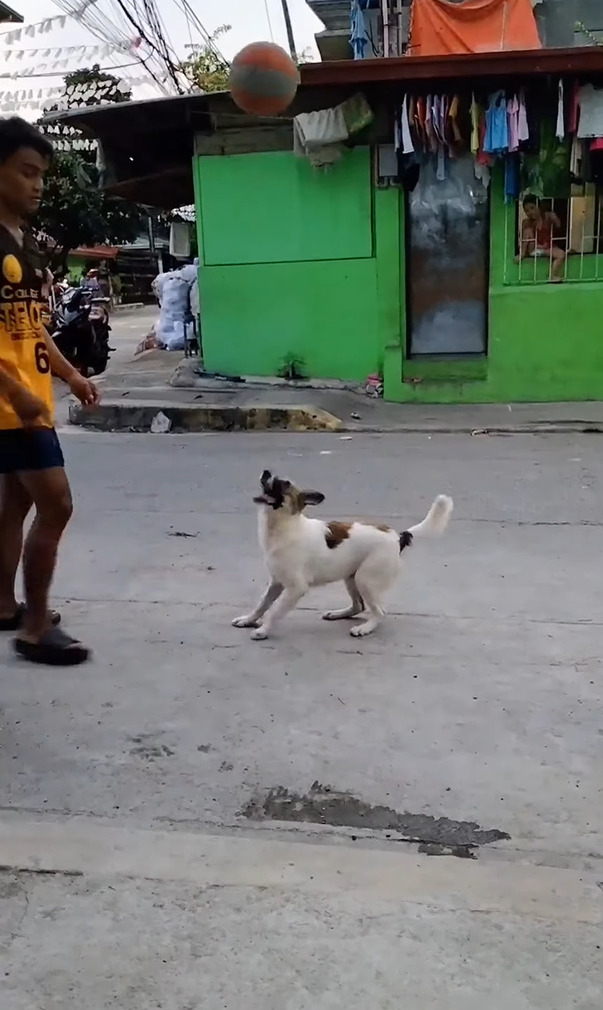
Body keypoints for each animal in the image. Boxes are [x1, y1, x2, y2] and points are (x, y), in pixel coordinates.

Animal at [231, 470, 452, 638]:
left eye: (283, 484)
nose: (266, 472)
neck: (283, 528)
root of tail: (397, 537)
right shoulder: (276, 582)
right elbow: (262, 604)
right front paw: (248, 620)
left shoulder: (296, 588)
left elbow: (274, 612)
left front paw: (263, 630)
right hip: (351, 577)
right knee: (358, 606)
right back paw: (338, 614)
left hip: (365, 579)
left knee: (380, 612)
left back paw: (365, 628)